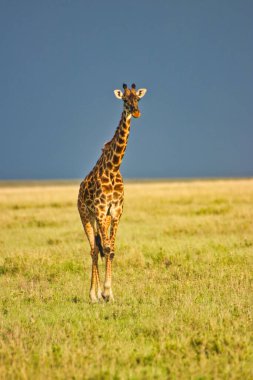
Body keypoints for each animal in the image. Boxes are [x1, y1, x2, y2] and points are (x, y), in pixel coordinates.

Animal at [78, 83, 147, 302]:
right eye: (124, 100)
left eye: (138, 99)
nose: (136, 112)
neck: (114, 167)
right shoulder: (100, 210)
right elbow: (106, 248)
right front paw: (104, 292)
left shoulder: (115, 211)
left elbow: (112, 249)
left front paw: (110, 293)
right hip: (86, 216)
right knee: (93, 249)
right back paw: (93, 295)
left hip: (103, 219)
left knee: (99, 248)